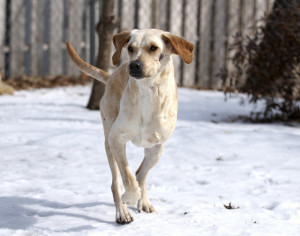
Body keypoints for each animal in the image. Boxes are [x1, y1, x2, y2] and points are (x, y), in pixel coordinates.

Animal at [66, 28, 193, 224]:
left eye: (154, 48)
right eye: (131, 48)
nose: (134, 65)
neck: (148, 94)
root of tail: (111, 75)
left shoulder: (157, 145)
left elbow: (139, 175)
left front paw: (141, 199)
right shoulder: (116, 139)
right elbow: (127, 177)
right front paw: (130, 197)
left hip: (155, 151)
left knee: (140, 173)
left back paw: (143, 201)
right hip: (108, 142)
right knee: (116, 182)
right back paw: (122, 211)